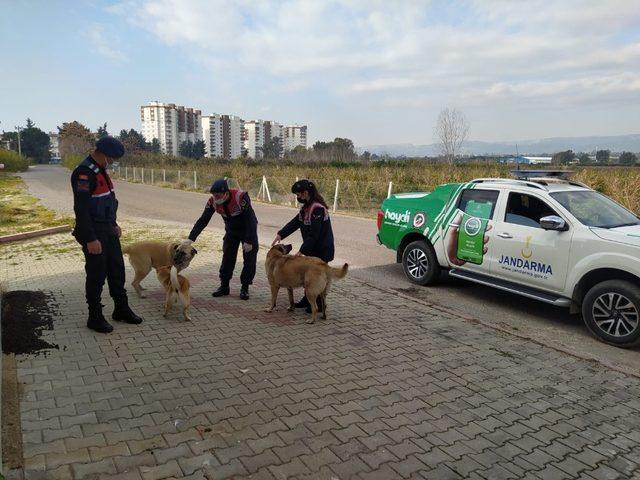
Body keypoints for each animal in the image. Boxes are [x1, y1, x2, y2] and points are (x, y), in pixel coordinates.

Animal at [71, 137, 144, 332]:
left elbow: (118, 282)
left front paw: (125, 313)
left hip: (113, 249)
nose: (113, 164)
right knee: (94, 285)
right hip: (97, 249)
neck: (96, 166)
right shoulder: (83, 177)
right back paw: (97, 321)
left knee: (117, 277)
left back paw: (124, 314)